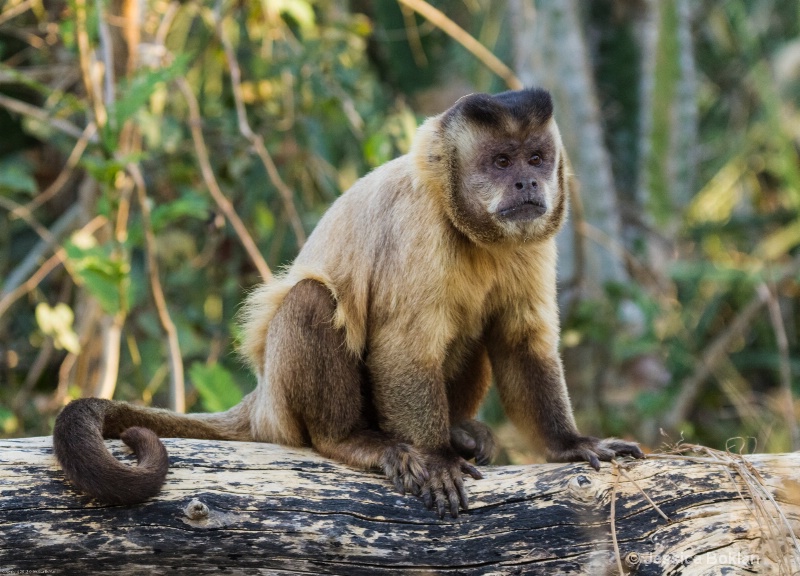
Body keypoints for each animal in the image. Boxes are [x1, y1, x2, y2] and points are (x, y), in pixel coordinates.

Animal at [53, 89, 644, 516]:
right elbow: (402, 349)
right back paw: (354, 441)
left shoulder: (533, 238)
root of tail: (260, 400)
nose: (525, 182)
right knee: (315, 300)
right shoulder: (419, 227)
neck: (466, 228)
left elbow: (521, 341)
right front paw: (434, 458)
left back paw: (457, 429)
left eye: (536, 159)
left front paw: (569, 443)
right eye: (500, 161)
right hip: (285, 408)